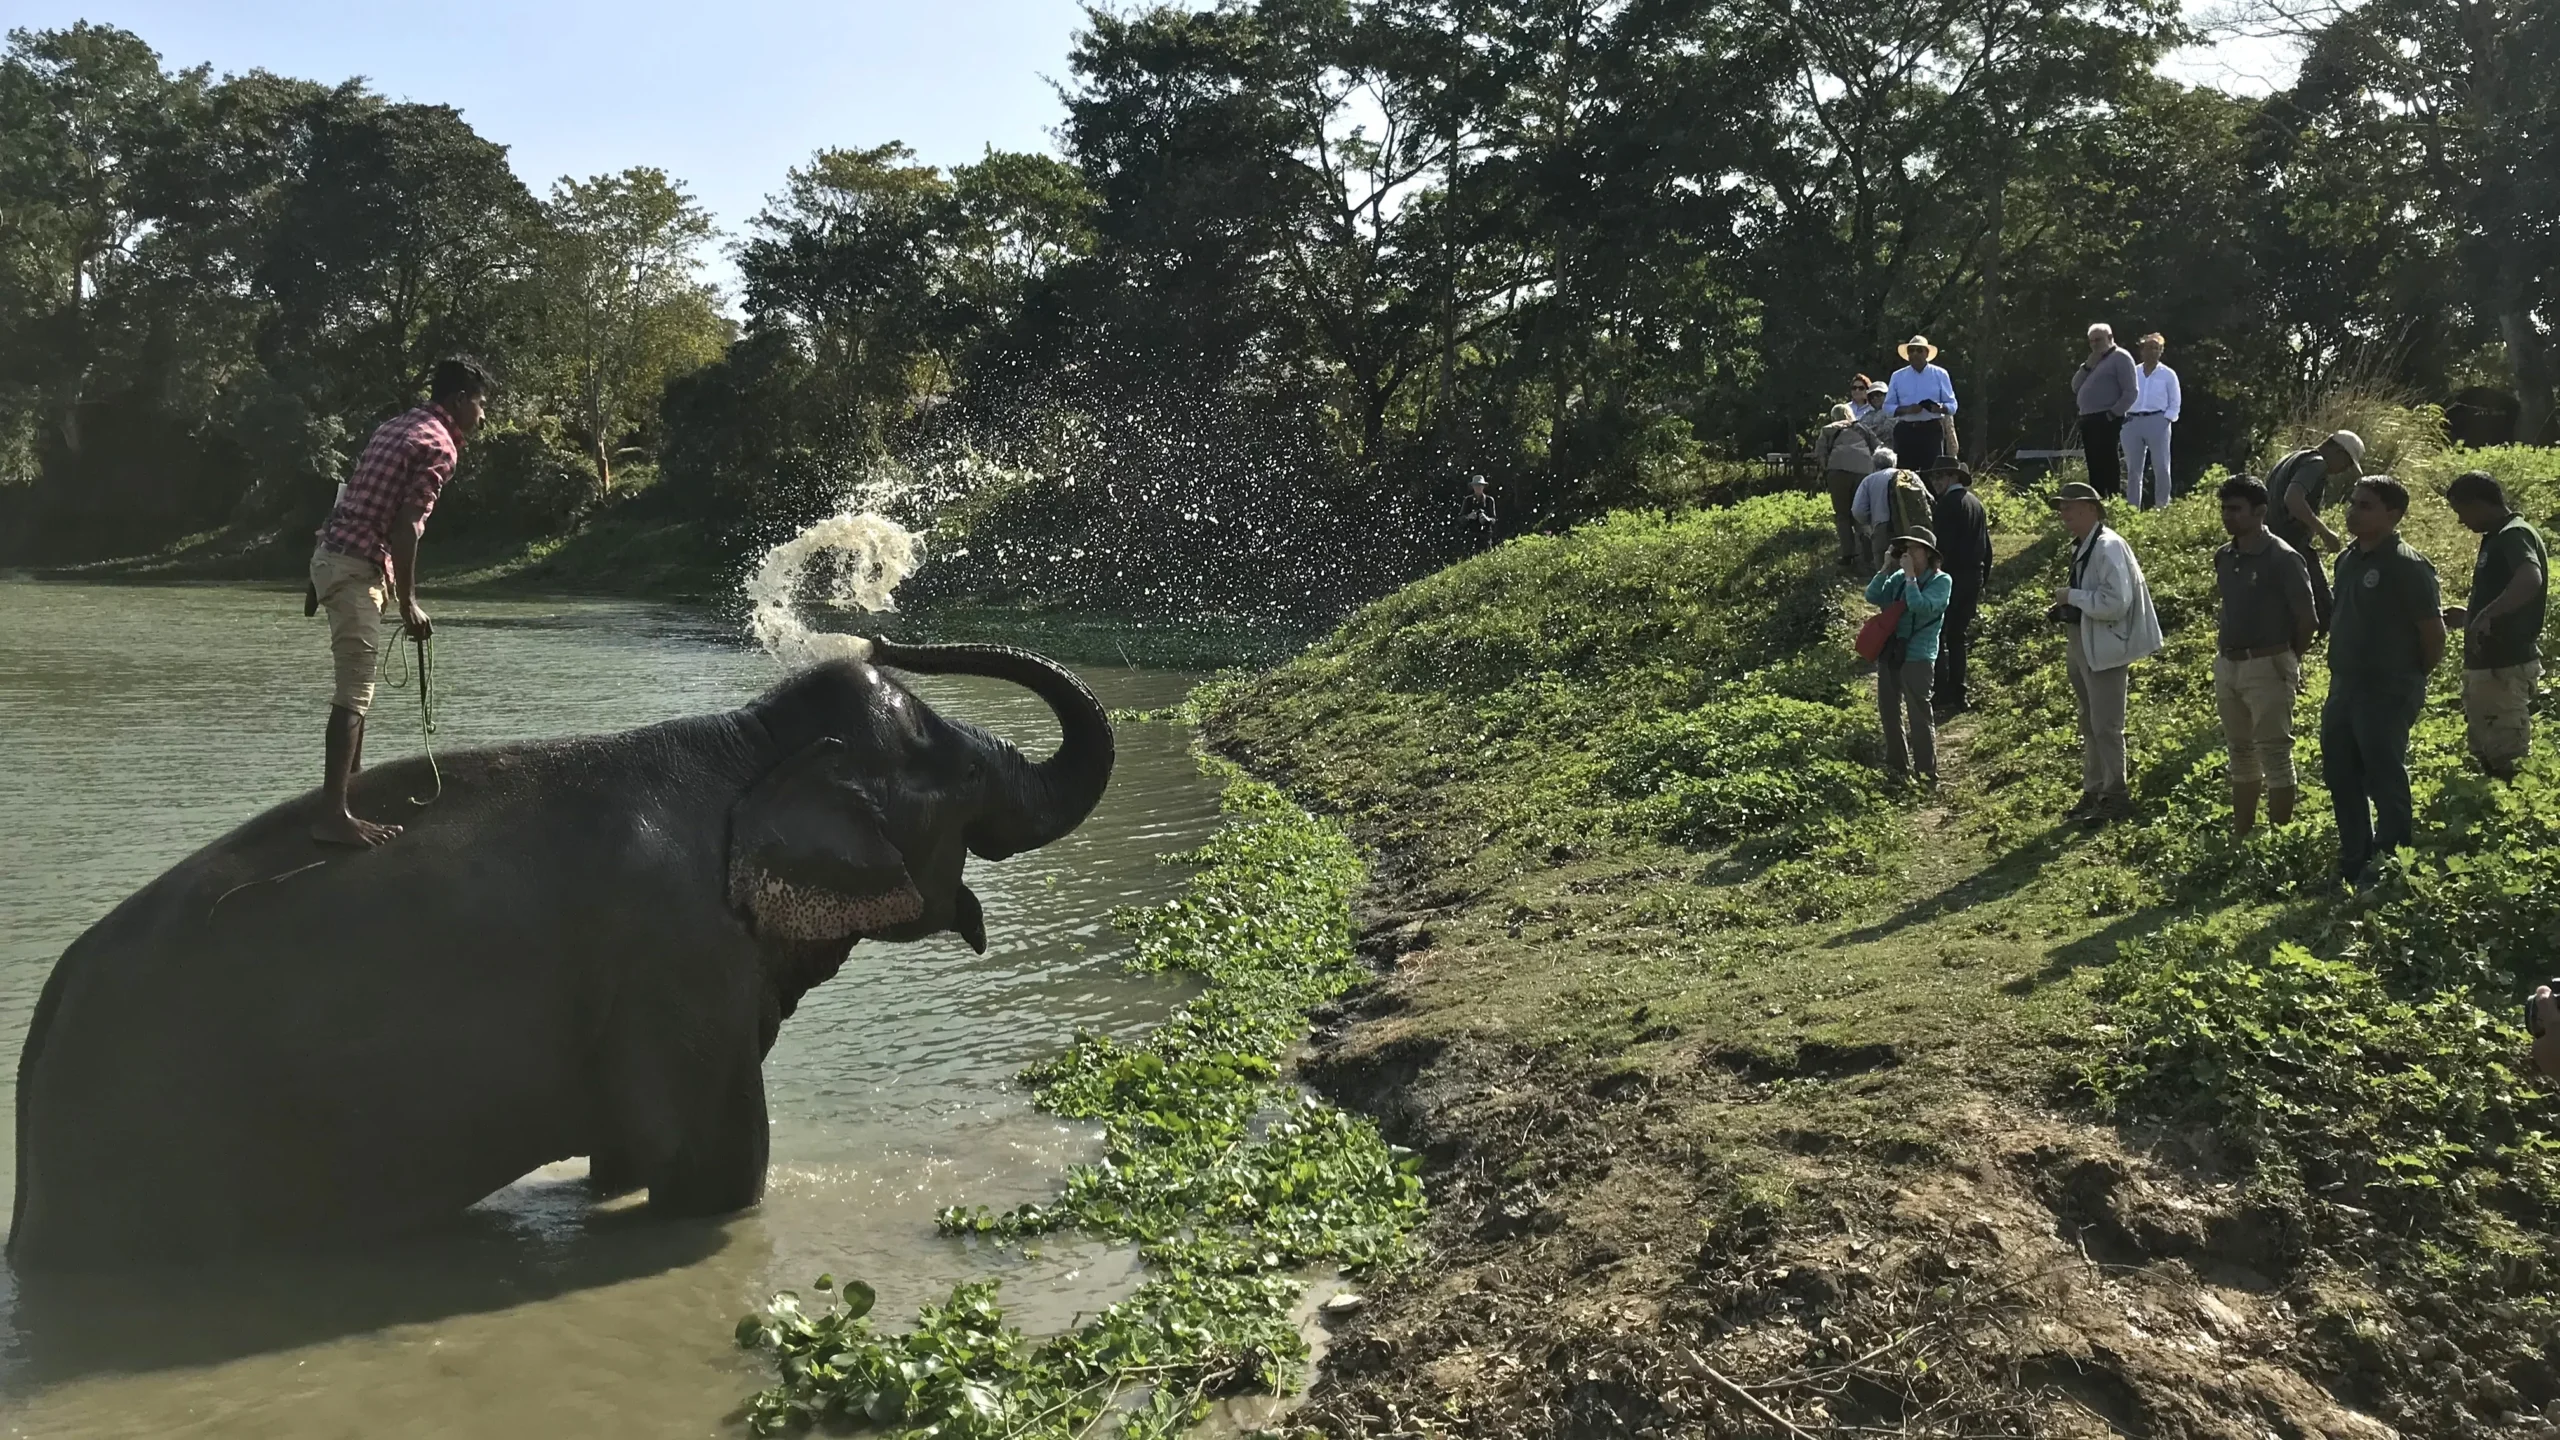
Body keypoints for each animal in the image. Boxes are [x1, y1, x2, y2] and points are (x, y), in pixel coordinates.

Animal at [7, 640, 1113, 1269]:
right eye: (964, 777)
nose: (886, 624)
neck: (744, 746)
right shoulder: (677, 963)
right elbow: (711, 1168)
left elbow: (624, 1153)